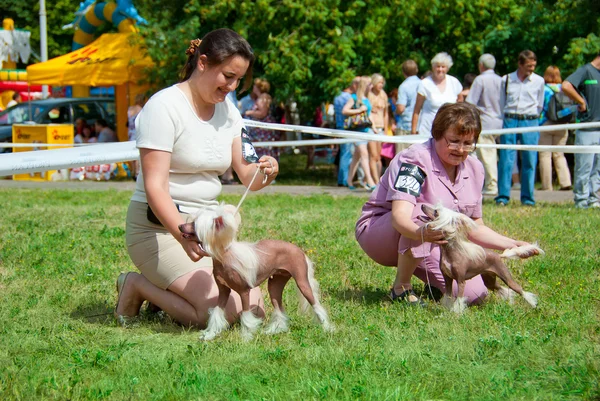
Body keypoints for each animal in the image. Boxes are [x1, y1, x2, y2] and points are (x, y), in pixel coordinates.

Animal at [178, 203, 332, 338]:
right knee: (279, 308)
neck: (225, 256)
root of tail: (299, 250)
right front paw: (210, 335)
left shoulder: (244, 292)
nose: (179, 226)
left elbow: (246, 315)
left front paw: (246, 337)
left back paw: (327, 328)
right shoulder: (223, 291)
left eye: (194, 224)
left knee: (316, 304)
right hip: (275, 285)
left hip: (302, 282)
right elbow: (217, 312)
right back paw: (274, 330)